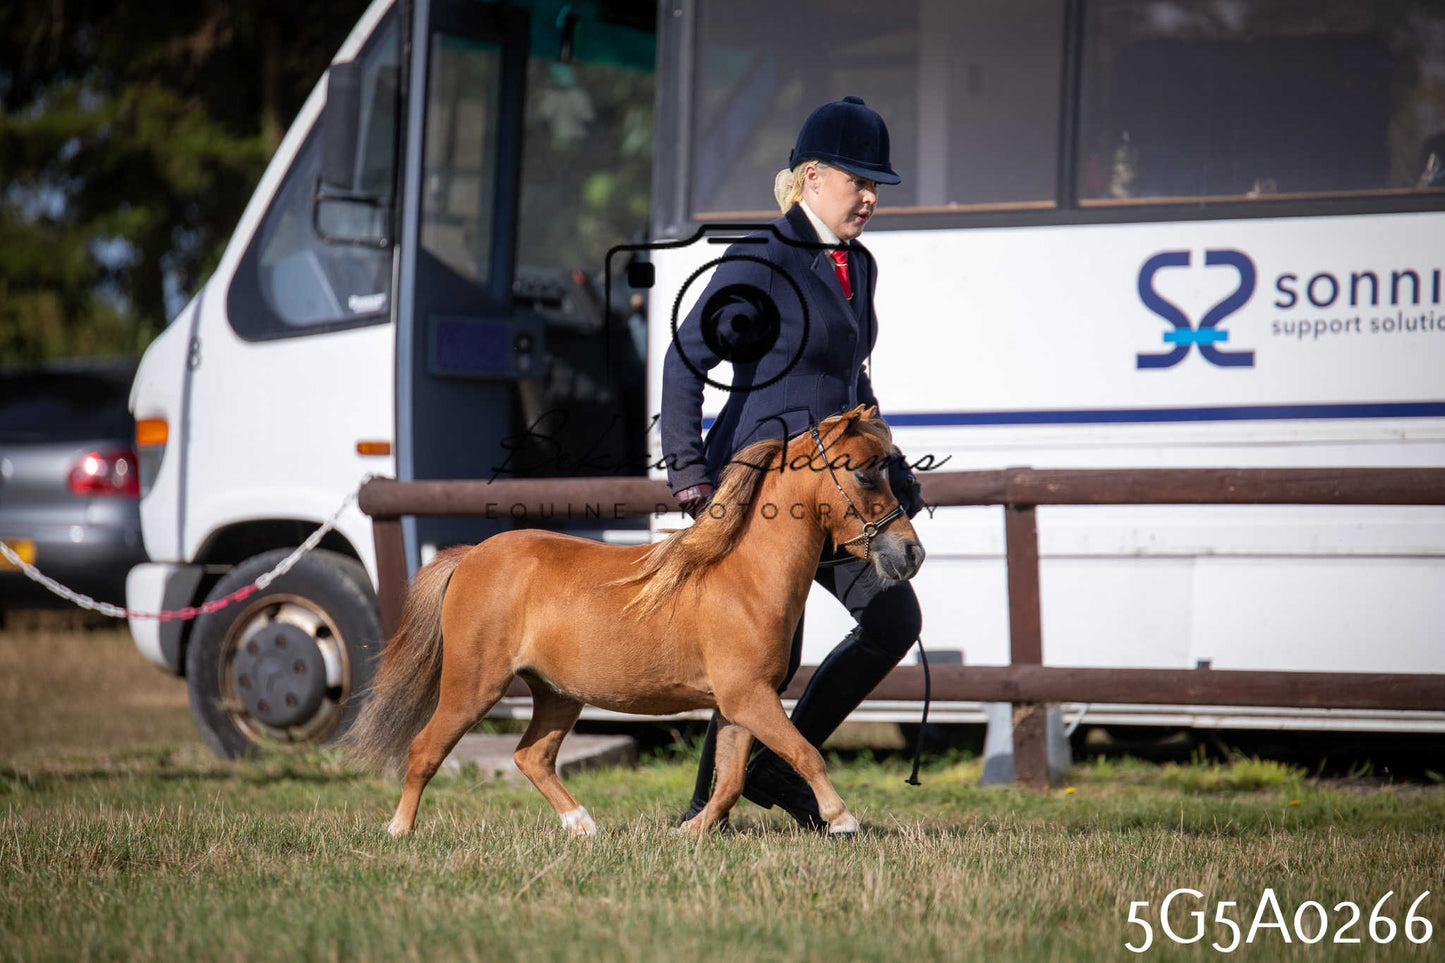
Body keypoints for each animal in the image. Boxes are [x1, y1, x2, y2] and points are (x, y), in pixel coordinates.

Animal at [344, 404, 925, 836]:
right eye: (865, 470)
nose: (910, 554)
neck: (742, 579)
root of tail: (469, 557)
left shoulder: (741, 704)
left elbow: (730, 780)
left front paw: (691, 832)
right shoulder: (749, 698)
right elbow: (805, 753)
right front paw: (842, 819)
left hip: (557, 693)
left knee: (532, 756)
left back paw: (582, 826)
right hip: (474, 684)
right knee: (425, 749)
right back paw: (399, 831)